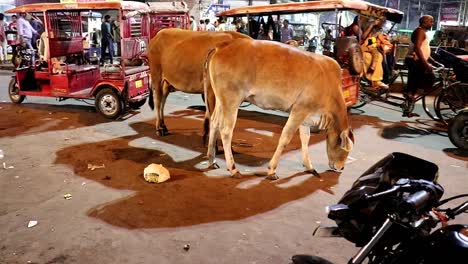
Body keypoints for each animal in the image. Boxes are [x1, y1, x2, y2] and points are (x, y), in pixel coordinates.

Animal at [205, 38, 354, 179]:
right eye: (345, 149)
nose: (341, 167)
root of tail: (223, 45)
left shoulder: (306, 116)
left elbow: (305, 138)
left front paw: (309, 166)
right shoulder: (299, 110)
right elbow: (285, 138)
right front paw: (272, 170)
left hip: (221, 101)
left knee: (214, 122)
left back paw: (211, 160)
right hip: (232, 101)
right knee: (226, 131)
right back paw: (233, 169)